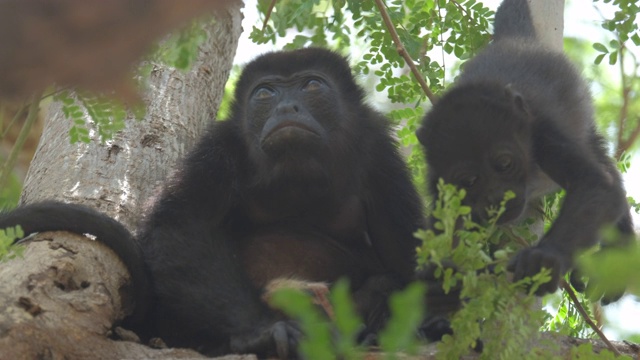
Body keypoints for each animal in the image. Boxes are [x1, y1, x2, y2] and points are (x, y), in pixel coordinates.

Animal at [3, 47, 424, 358]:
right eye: (266, 93)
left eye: (311, 86)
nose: (286, 109)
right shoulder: (221, 147)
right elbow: (182, 224)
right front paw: (261, 333)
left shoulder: (378, 150)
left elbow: (406, 252)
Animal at [416, 0, 636, 300]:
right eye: (469, 180)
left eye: (504, 164)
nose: (497, 197)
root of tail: (514, 41)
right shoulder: (438, 183)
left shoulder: (543, 134)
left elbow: (598, 185)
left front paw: (545, 258)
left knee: (601, 162)